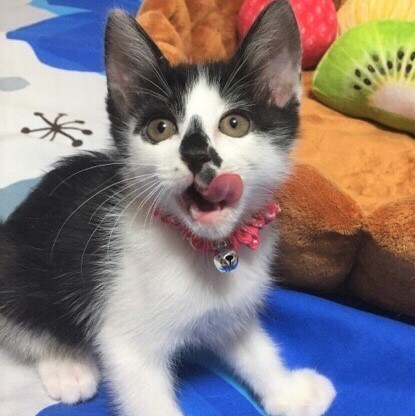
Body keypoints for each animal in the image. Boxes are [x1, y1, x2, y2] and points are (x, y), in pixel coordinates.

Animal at [0, 2, 336, 415]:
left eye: (235, 123)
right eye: (160, 128)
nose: (195, 154)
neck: (209, 250)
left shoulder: (230, 311)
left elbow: (255, 348)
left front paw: (289, 392)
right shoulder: (126, 342)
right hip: (18, 270)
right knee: (24, 322)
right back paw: (68, 366)